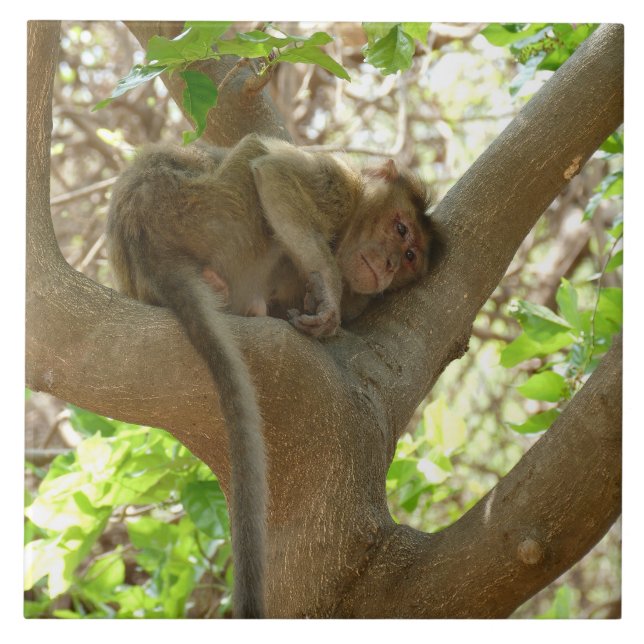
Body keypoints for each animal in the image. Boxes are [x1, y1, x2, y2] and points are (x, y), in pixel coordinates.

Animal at [106, 134, 432, 618]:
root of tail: (144, 242)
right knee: (254, 150)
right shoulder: (337, 182)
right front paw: (328, 290)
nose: (392, 263)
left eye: (410, 256)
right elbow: (274, 173)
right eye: (401, 230)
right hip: (208, 208)